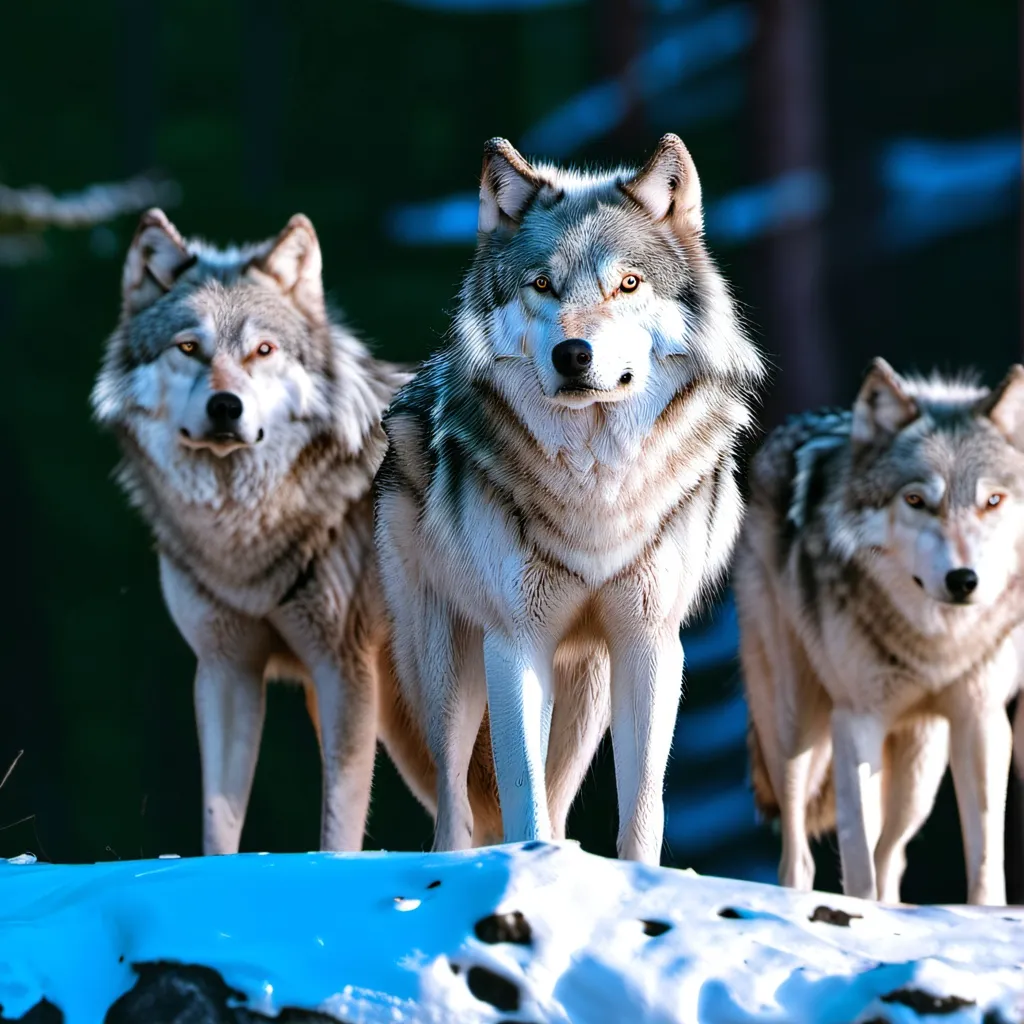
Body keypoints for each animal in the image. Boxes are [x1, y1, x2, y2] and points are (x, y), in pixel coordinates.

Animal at [92, 210, 502, 854]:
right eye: (189, 347)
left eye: (263, 350)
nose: (225, 407)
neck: (247, 537)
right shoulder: (224, 668)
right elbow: (218, 822)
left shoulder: (343, 671)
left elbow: (337, 827)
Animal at [375, 134, 765, 864]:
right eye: (542, 285)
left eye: (628, 284)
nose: (574, 354)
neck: (595, 482)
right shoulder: (514, 643)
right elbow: (521, 796)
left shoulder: (650, 644)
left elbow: (642, 806)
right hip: (449, 674)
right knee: (454, 799)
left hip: (587, 693)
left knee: (556, 796)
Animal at [735, 358, 1024, 905]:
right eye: (915, 499)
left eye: (993, 501)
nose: (964, 580)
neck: (935, 644)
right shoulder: (856, 720)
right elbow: (858, 857)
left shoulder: (981, 720)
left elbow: (985, 860)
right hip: (794, 727)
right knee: (798, 854)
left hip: (921, 766)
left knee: (894, 854)